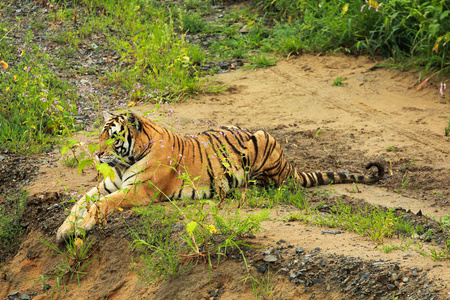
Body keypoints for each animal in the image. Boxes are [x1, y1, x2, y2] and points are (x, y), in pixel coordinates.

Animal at [54, 111, 382, 243]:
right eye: (100, 135)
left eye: (112, 137)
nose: (97, 155)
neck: (125, 161)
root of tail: (290, 164)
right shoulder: (107, 184)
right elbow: (79, 203)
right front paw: (64, 229)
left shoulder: (138, 190)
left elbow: (102, 205)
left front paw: (81, 226)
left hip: (263, 143)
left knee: (271, 185)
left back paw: (240, 189)